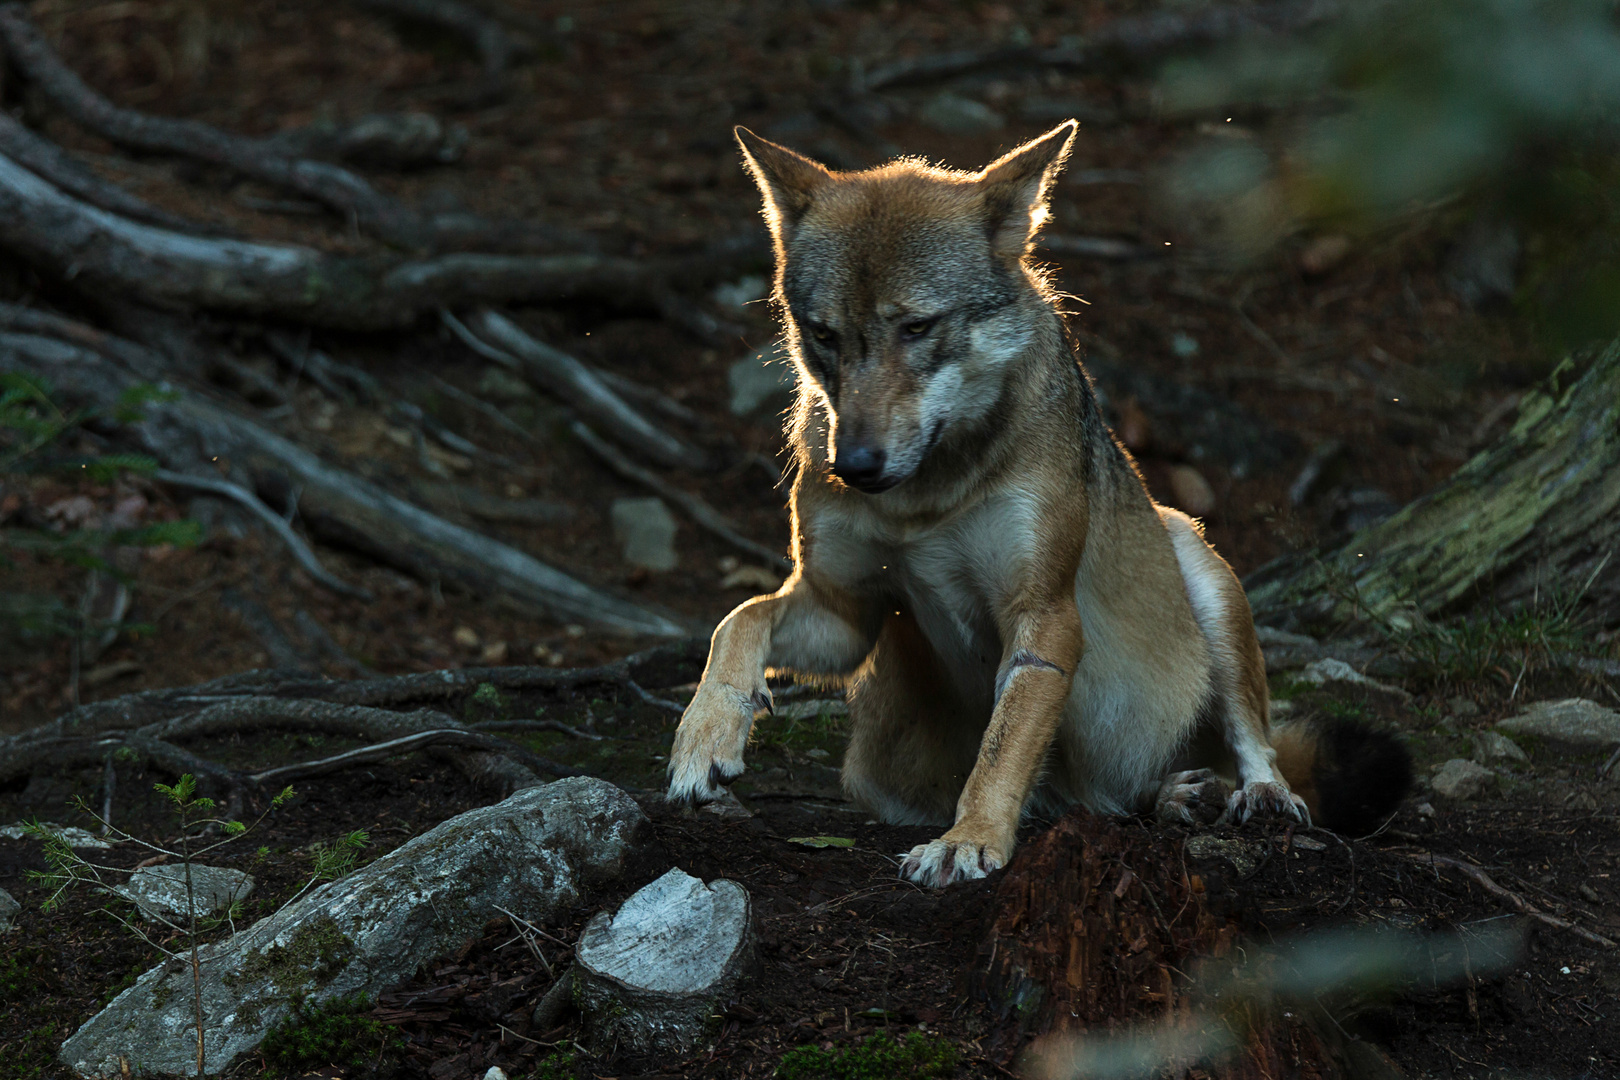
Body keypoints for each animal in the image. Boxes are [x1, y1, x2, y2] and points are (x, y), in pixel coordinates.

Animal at [664, 124, 1412, 887]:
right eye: (825, 335)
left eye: (917, 328)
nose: (854, 467)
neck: (925, 500)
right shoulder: (844, 614)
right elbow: (739, 619)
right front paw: (703, 739)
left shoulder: (1042, 617)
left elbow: (1001, 750)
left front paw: (967, 841)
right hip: (885, 776)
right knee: (1103, 799)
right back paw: (1173, 796)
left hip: (1198, 562)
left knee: (1254, 736)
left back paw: (1251, 795)